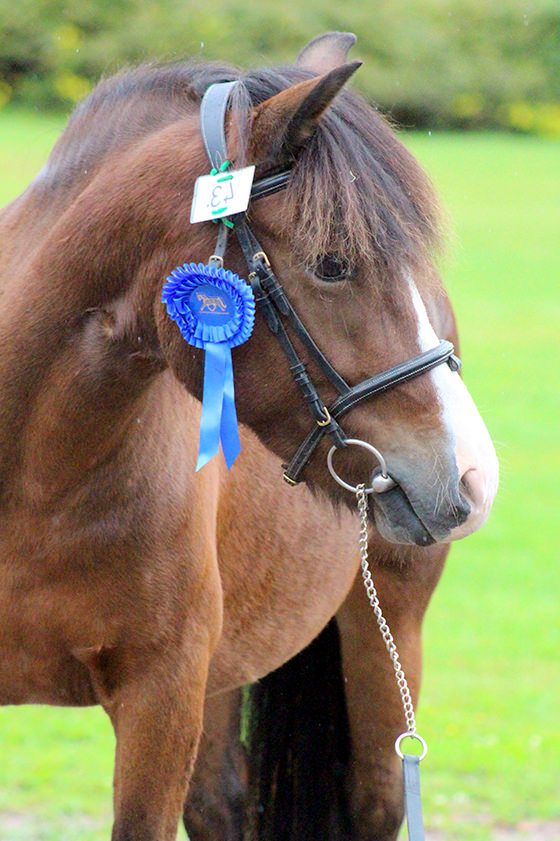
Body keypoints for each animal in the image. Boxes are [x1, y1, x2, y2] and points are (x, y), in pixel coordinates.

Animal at [0, 30, 498, 841]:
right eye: (333, 264)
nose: (474, 476)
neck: (35, 479)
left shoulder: (161, 697)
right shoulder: (180, 690)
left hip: (385, 634)